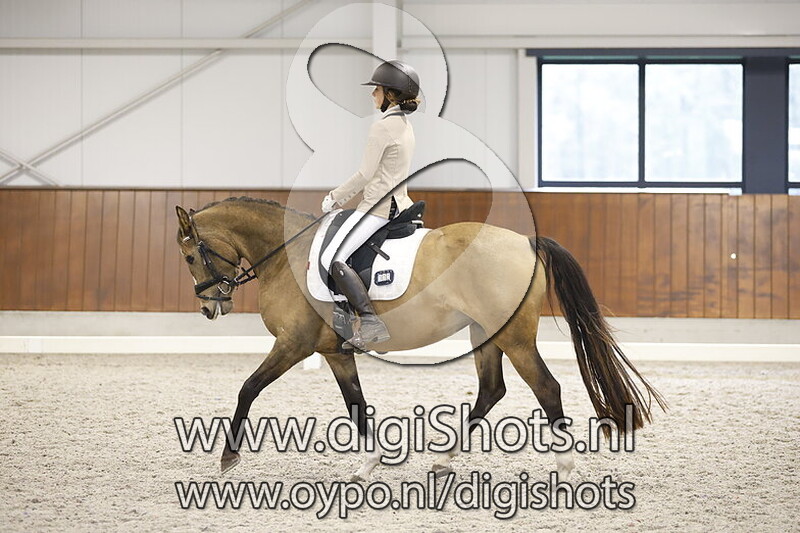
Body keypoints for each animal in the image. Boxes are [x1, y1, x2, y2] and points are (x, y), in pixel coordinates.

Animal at [174, 196, 666, 481]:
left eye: (189, 256)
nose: (209, 307)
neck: (287, 254)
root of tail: (527, 242)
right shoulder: (334, 352)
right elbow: (356, 406)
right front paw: (370, 464)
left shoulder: (293, 345)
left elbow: (248, 388)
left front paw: (227, 458)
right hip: (485, 333)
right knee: (492, 390)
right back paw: (444, 460)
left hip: (514, 338)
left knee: (546, 387)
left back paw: (564, 468)